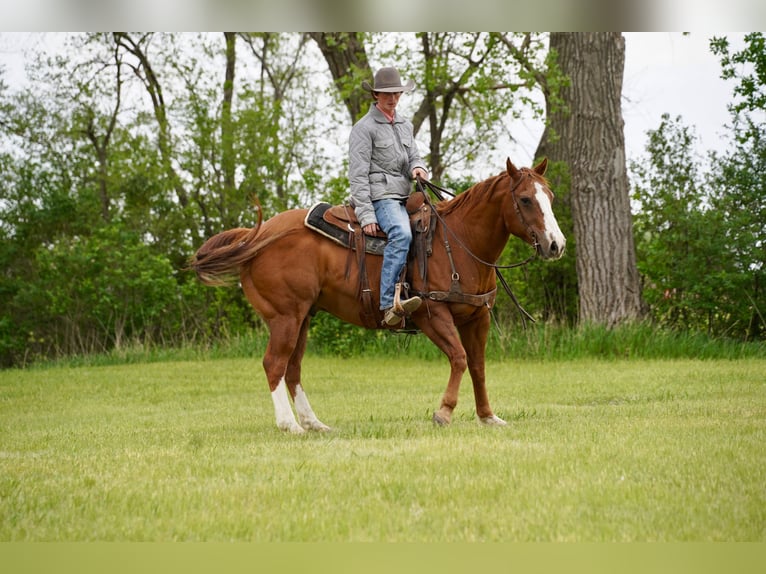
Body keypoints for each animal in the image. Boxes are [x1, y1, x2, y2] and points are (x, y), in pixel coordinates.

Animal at [191, 157, 565, 432]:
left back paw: (314, 423)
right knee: (274, 364)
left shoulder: (477, 316)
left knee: (292, 368)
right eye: (525, 199)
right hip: (285, 316)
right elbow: (459, 358)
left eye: (549, 198)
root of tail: (257, 236)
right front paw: (443, 412)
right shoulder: (431, 314)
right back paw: (289, 425)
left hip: (302, 318)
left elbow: (477, 365)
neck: (458, 241)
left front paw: (488, 416)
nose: (556, 245)